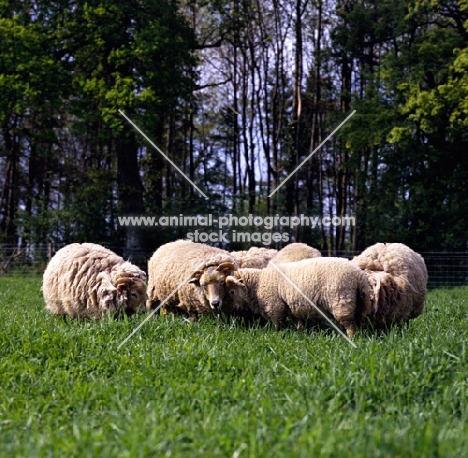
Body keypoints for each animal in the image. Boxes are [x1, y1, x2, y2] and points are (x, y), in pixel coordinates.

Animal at [225, 258, 372, 336]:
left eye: (232, 292)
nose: (232, 310)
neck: (258, 283)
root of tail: (358, 275)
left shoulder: (275, 306)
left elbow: (277, 324)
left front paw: (276, 335)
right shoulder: (291, 308)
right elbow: (298, 324)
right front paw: (300, 335)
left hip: (341, 301)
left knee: (350, 325)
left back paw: (351, 339)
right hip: (362, 302)